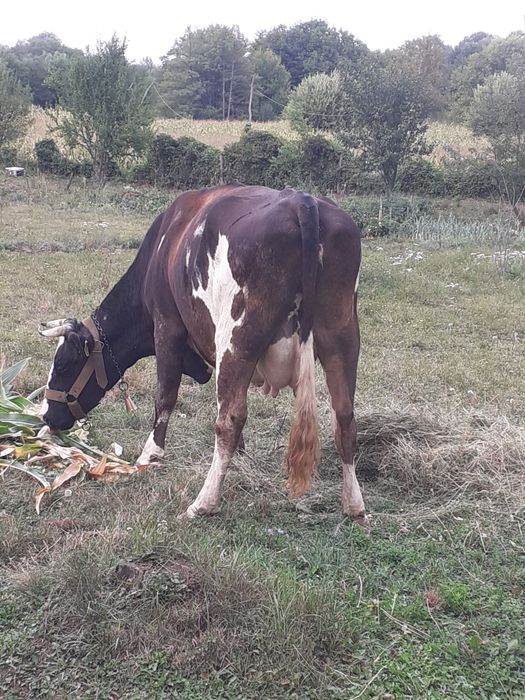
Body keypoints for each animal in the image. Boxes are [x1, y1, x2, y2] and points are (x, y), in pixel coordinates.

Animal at [39, 184, 365, 523]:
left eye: (62, 364)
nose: (47, 416)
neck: (162, 248)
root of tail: (302, 200)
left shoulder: (166, 326)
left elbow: (165, 396)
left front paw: (150, 454)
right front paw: (242, 456)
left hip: (236, 339)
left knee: (229, 419)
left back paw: (203, 502)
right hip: (343, 339)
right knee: (344, 416)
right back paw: (354, 505)